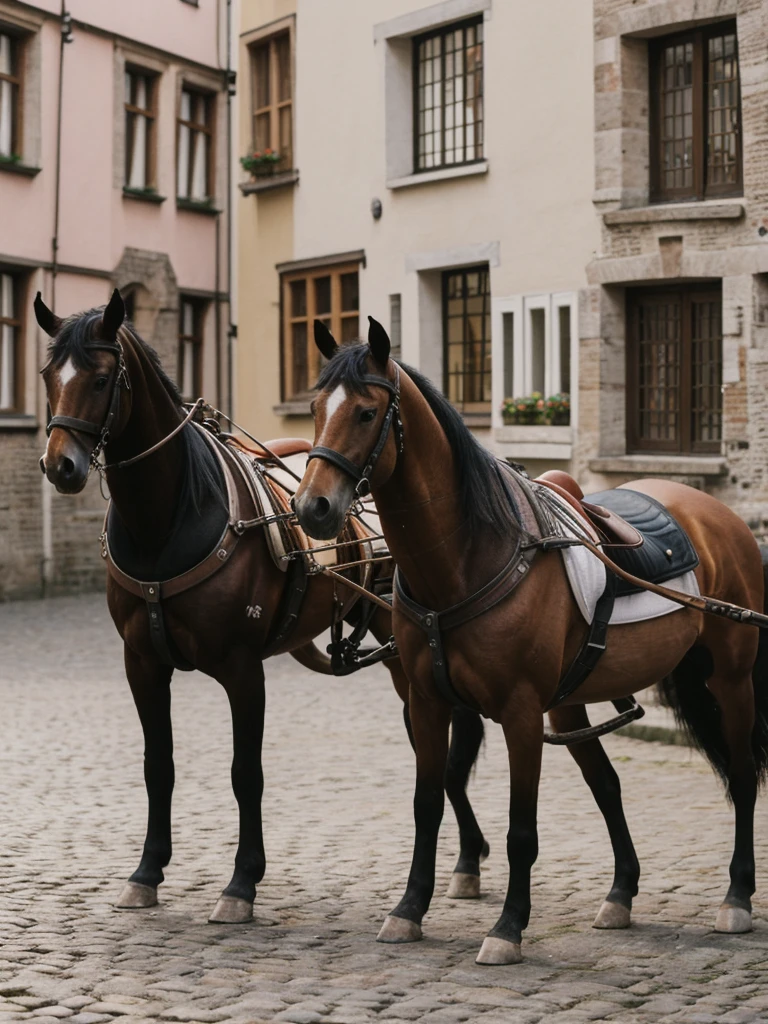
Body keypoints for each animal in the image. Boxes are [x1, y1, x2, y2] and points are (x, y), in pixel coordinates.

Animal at [36, 290, 489, 929]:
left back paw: (466, 860)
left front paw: (241, 883)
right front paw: (146, 873)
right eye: (49, 375)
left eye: (101, 379)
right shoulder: (141, 663)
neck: (168, 519)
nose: (61, 465)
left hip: (406, 657)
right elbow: (158, 766)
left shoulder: (242, 668)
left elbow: (244, 773)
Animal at [294, 315, 768, 962]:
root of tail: (720, 516)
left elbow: (521, 827)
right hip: (574, 703)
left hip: (730, 679)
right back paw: (621, 894)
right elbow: (427, 802)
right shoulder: (427, 700)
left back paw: (737, 897)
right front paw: (409, 909)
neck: (468, 557)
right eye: (315, 409)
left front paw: (507, 927)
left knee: (743, 777)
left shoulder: (519, 714)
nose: (312, 507)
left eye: (367, 412)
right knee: (608, 784)